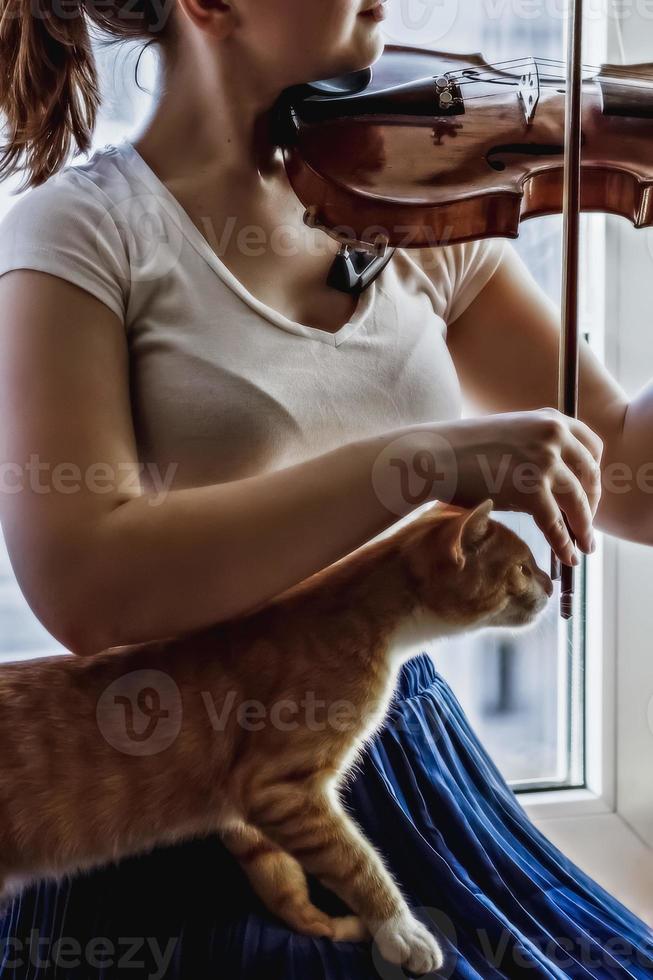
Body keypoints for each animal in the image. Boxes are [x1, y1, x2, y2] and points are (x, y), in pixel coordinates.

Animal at [0, 502, 552, 976]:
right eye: (524, 568)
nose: (551, 585)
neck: (369, 623)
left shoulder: (245, 812)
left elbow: (280, 876)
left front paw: (321, 924)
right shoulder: (279, 787)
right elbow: (355, 858)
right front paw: (401, 930)